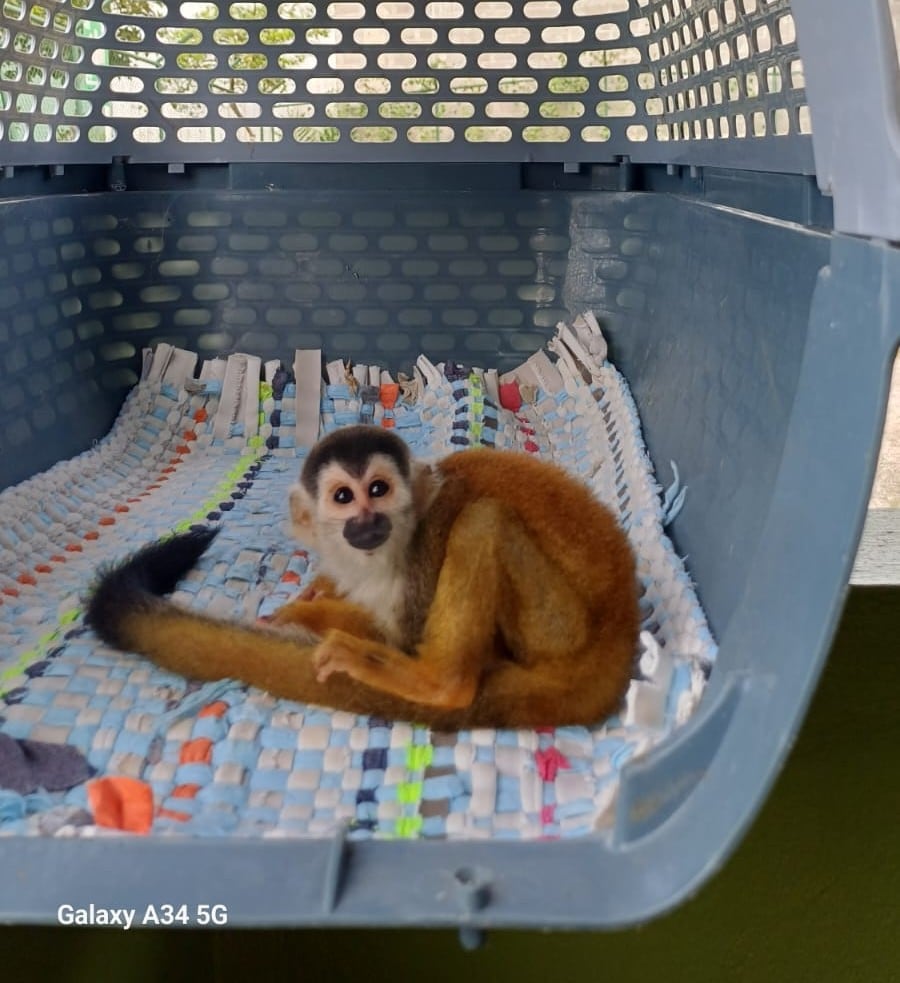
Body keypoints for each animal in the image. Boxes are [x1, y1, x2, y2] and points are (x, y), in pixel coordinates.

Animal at [86, 425, 640, 730]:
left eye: (378, 488)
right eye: (343, 497)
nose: (367, 521)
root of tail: (619, 637)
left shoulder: (422, 553)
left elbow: (404, 638)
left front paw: (316, 617)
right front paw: (316, 602)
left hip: (559, 628)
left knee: (484, 520)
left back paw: (439, 684)